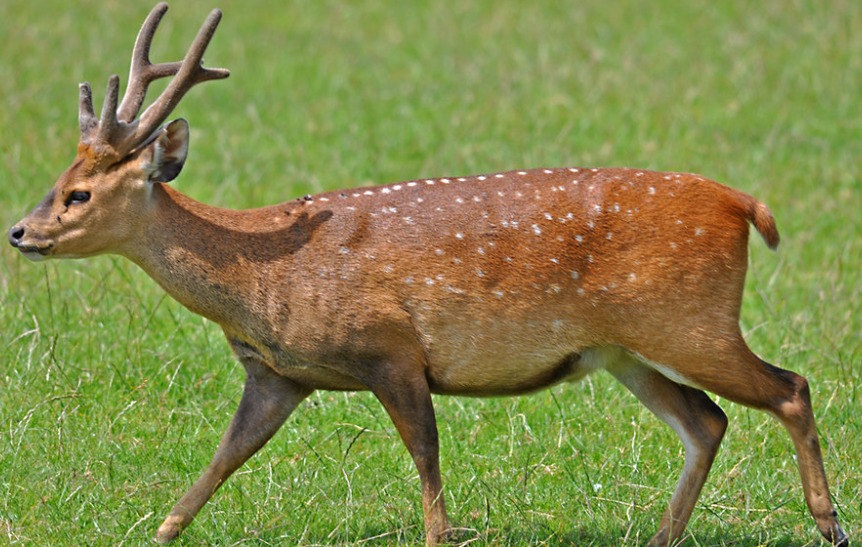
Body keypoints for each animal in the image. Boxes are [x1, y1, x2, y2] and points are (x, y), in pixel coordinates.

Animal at [5, 4, 852, 547]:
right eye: (59, 178)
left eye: (79, 194)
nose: (20, 231)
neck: (262, 280)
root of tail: (743, 204)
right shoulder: (277, 374)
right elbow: (219, 460)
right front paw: (157, 530)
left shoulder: (392, 347)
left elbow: (426, 454)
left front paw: (443, 534)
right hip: (626, 349)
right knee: (707, 421)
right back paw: (662, 536)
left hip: (690, 320)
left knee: (789, 386)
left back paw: (829, 521)